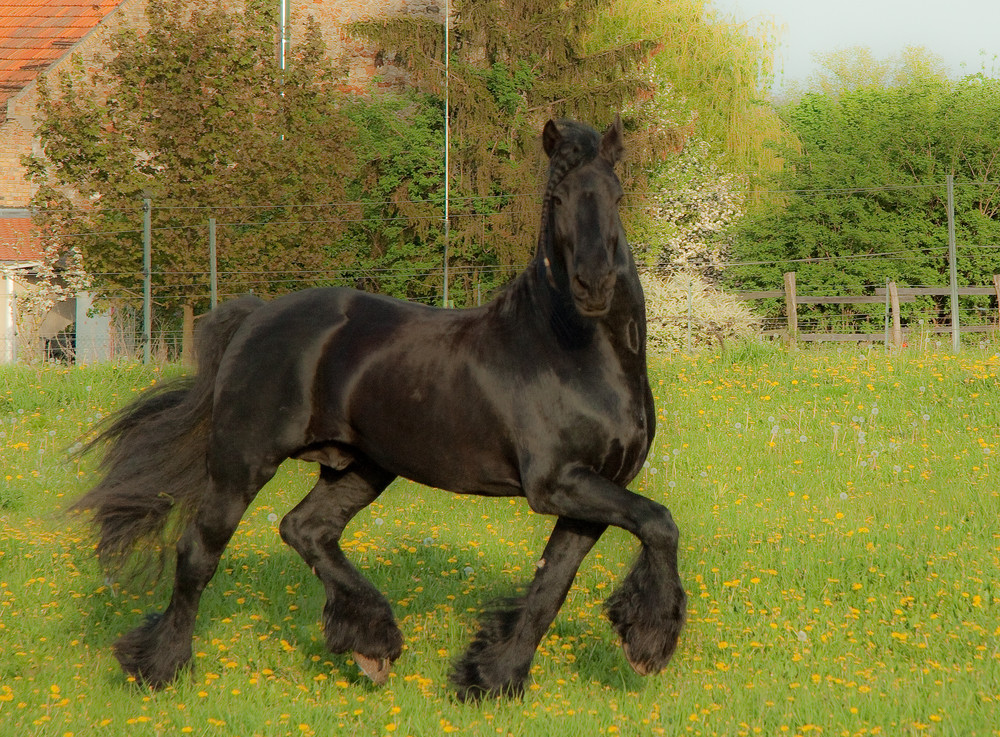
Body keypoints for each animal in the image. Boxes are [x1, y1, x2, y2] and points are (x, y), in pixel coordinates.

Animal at [72, 118, 688, 700]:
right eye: (557, 197)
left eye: (615, 194)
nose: (593, 284)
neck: (570, 351)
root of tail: (257, 315)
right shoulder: (556, 482)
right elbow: (659, 522)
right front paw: (650, 643)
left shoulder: (591, 492)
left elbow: (551, 586)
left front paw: (491, 677)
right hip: (240, 462)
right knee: (199, 553)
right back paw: (160, 667)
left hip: (362, 466)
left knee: (306, 529)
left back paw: (372, 645)